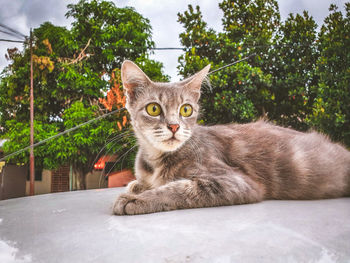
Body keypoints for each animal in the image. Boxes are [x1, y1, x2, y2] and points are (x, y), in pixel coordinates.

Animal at [113, 60, 350, 217]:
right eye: (153, 109)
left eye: (186, 109)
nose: (174, 126)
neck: (156, 159)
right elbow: (143, 182)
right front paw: (137, 187)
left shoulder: (236, 182)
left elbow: (178, 189)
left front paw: (137, 199)